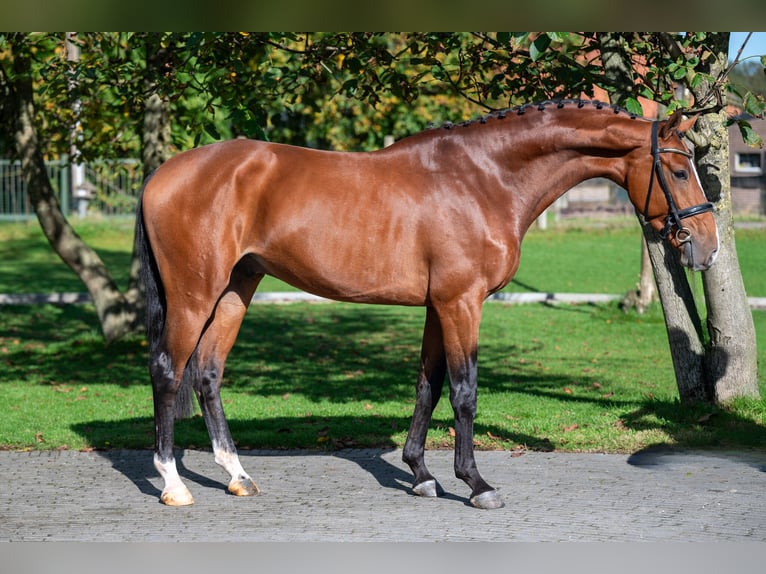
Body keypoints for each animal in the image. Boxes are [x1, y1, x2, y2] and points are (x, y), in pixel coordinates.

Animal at [136, 101, 720, 510]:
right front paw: (477, 484)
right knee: (168, 370)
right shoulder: (462, 303)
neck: (484, 178)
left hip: (238, 288)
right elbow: (464, 391)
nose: (708, 247)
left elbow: (428, 384)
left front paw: (420, 474)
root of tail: (163, 173)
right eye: (680, 170)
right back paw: (173, 485)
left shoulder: (438, 306)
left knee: (208, 373)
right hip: (194, 295)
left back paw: (237, 477)